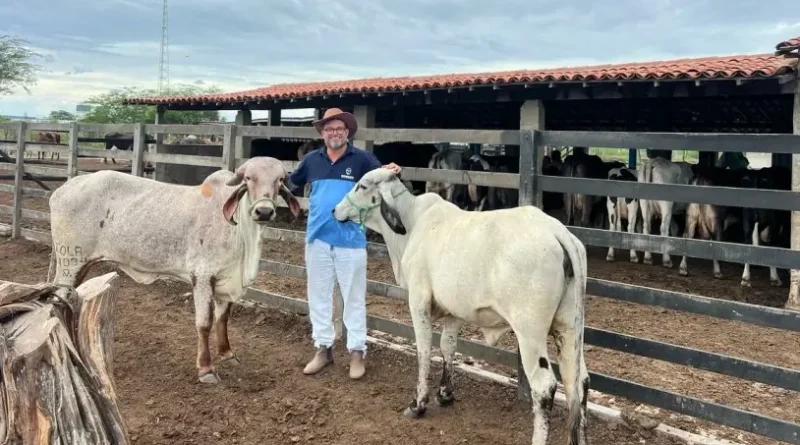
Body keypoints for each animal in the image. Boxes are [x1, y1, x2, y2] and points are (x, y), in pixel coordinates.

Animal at [47, 155, 304, 382]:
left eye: (280, 179)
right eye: (249, 178)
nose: (264, 211)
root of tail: (63, 189)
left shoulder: (226, 278)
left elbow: (223, 318)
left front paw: (227, 354)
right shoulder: (202, 276)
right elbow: (204, 323)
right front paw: (206, 369)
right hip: (71, 262)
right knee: (60, 301)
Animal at [334, 168, 592, 444]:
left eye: (362, 186)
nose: (335, 210)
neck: (413, 223)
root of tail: (557, 232)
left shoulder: (418, 299)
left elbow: (424, 350)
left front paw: (418, 403)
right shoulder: (453, 310)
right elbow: (448, 346)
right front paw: (445, 393)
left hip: (530, 332)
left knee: (544, 387)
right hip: (569, 327)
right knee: (579, 381)